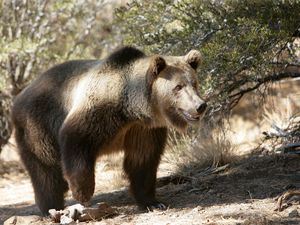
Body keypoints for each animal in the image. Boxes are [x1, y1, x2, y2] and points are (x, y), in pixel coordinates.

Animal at [12, 46, 209, 216]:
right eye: (178, 87)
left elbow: (142, 160)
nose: (200, 106)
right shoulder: (98, 111)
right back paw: (51, 207)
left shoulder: (142, 129)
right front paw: (83, 192)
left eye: (194, 83)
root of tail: (19, 97)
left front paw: (153, 202)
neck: (131, 109)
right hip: (37, 126)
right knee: (45, 169)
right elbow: (76, 140)